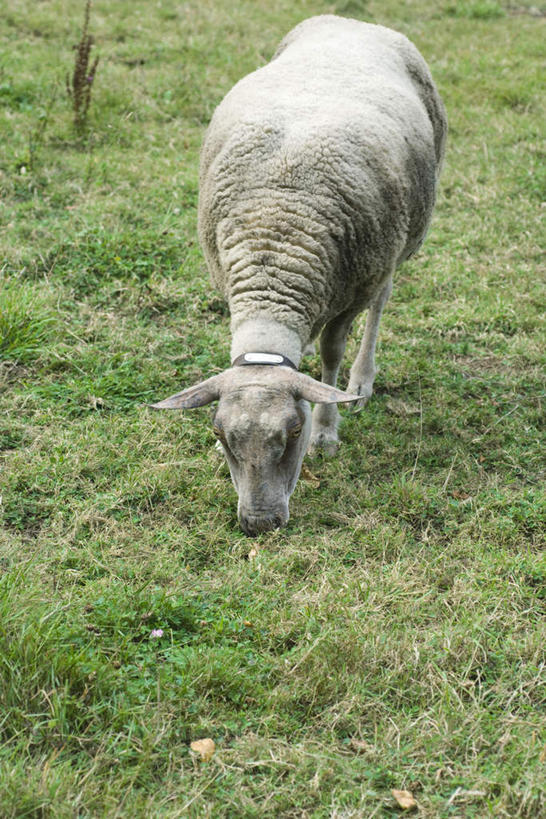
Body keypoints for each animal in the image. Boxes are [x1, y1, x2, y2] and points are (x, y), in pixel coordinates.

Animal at [150, 16, 446, 540]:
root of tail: (354, 21)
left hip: (395, 247)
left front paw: (328, 428)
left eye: (292, 431)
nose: (259, 523)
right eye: (219, 432)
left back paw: (362, 381)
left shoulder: (353, 288)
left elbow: (331, 354)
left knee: (382, 303)